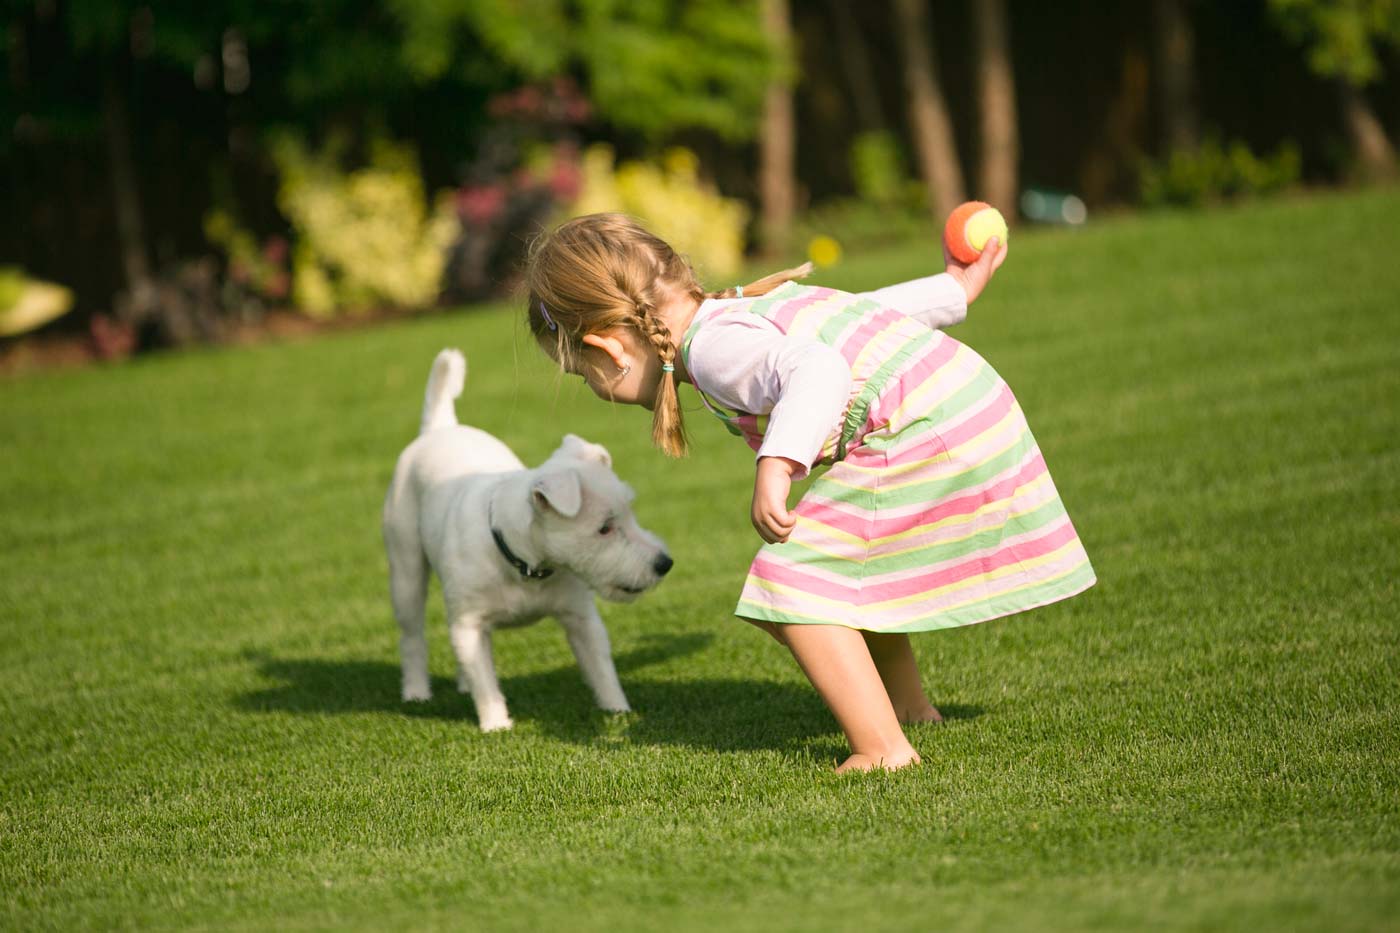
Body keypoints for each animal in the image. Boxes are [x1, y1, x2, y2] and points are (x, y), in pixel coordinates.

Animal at [380, 347, 669, 728]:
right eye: (604, 527)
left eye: (629, 514)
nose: (664, 563)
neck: (525, 563)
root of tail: (441, 428)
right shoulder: (469, 626)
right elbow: (486, 682)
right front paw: (496, 725)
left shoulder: (581, 618)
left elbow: (602, 670)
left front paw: (617, 710)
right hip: (406, 571)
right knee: (412, 636)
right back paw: (416, 691)